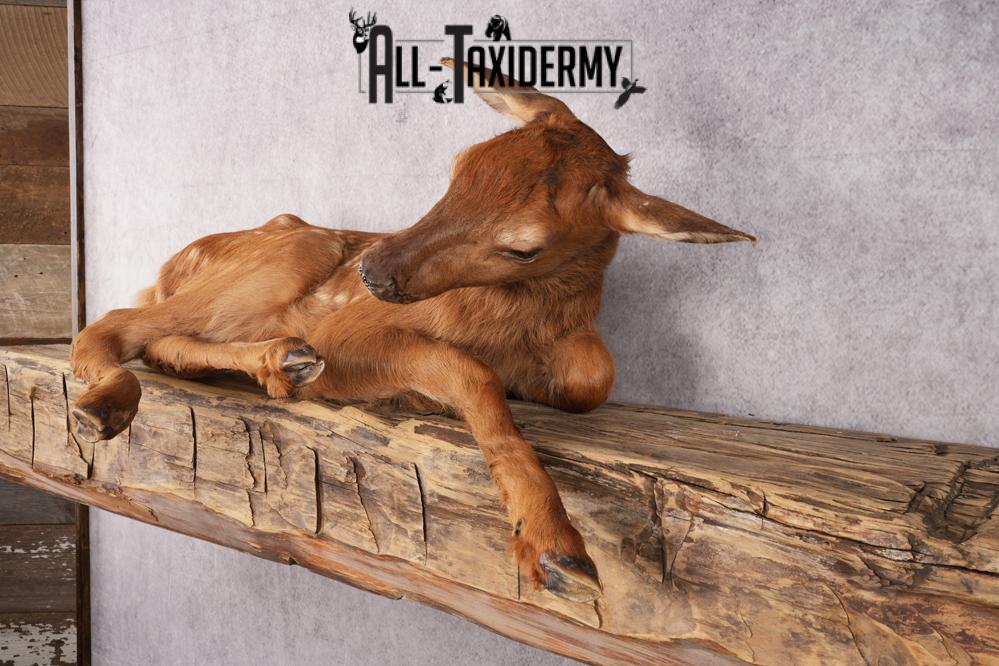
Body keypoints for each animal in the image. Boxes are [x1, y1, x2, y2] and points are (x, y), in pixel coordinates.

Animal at [68, 58, 754, 603]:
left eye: (524, 247)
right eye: (460, 166)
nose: (371, 270)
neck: (516, 325)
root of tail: (166, 271)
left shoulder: (579, 357)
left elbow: (592, 377)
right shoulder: (348, 332)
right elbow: (468, 371)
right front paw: (553, 543)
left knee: (157, 340)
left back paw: (279, 361)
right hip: (294, 246)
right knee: (113, 324)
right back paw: (111, 403)